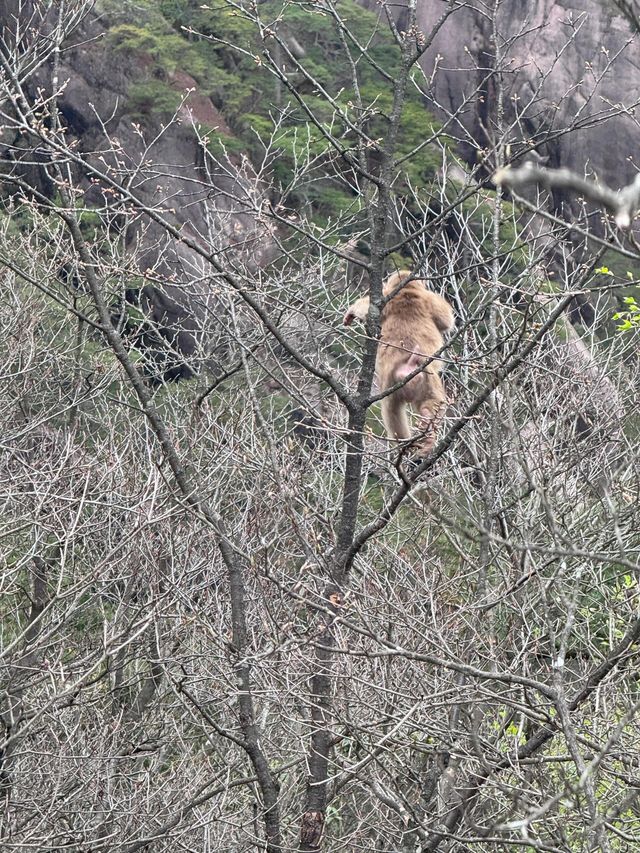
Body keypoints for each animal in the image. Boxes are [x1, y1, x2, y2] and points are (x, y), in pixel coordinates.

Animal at [344, 272, 456, 460]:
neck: (406, 291)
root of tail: (407, 367)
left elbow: (368, 308)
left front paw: (352, 312)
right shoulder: (426, 298)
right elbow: (445, 318)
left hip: (403, 381)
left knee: (393, 412)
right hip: (419, 377)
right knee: (413, 407)